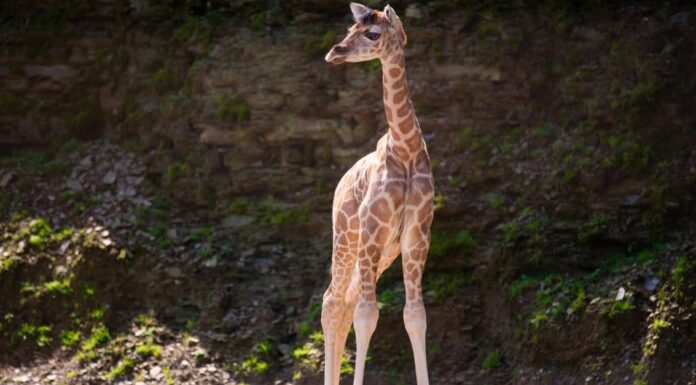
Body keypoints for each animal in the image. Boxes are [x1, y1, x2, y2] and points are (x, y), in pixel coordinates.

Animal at [322, 3, 432, 384]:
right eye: (349, 28)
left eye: (372, 33)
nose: (335, 52)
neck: (407, 150)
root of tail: (340, 185)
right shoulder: (372, 232)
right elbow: (368, 315)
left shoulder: (416, 238)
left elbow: (415, 316)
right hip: (347, 238)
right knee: (333, 301)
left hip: (382, 252)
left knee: (345, 303)